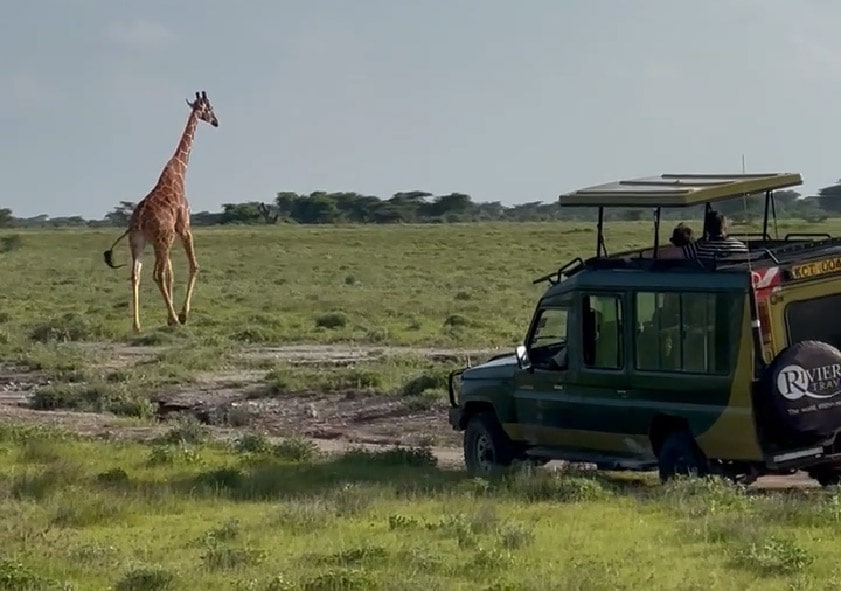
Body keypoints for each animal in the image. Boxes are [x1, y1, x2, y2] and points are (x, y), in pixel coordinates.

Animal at [102, 91, 218, 332]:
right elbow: (194, 266)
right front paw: (181, 315)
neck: (179, 171)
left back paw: (137, 325)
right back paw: (173, 318)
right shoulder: (183, 227)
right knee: (158, 274)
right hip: (160, 241)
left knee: (136, 275)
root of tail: (137, 221)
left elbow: (173, 274)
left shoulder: (170, 238)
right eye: (210, 108)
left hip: (139, 242)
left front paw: (169, 315)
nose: (216, 122)